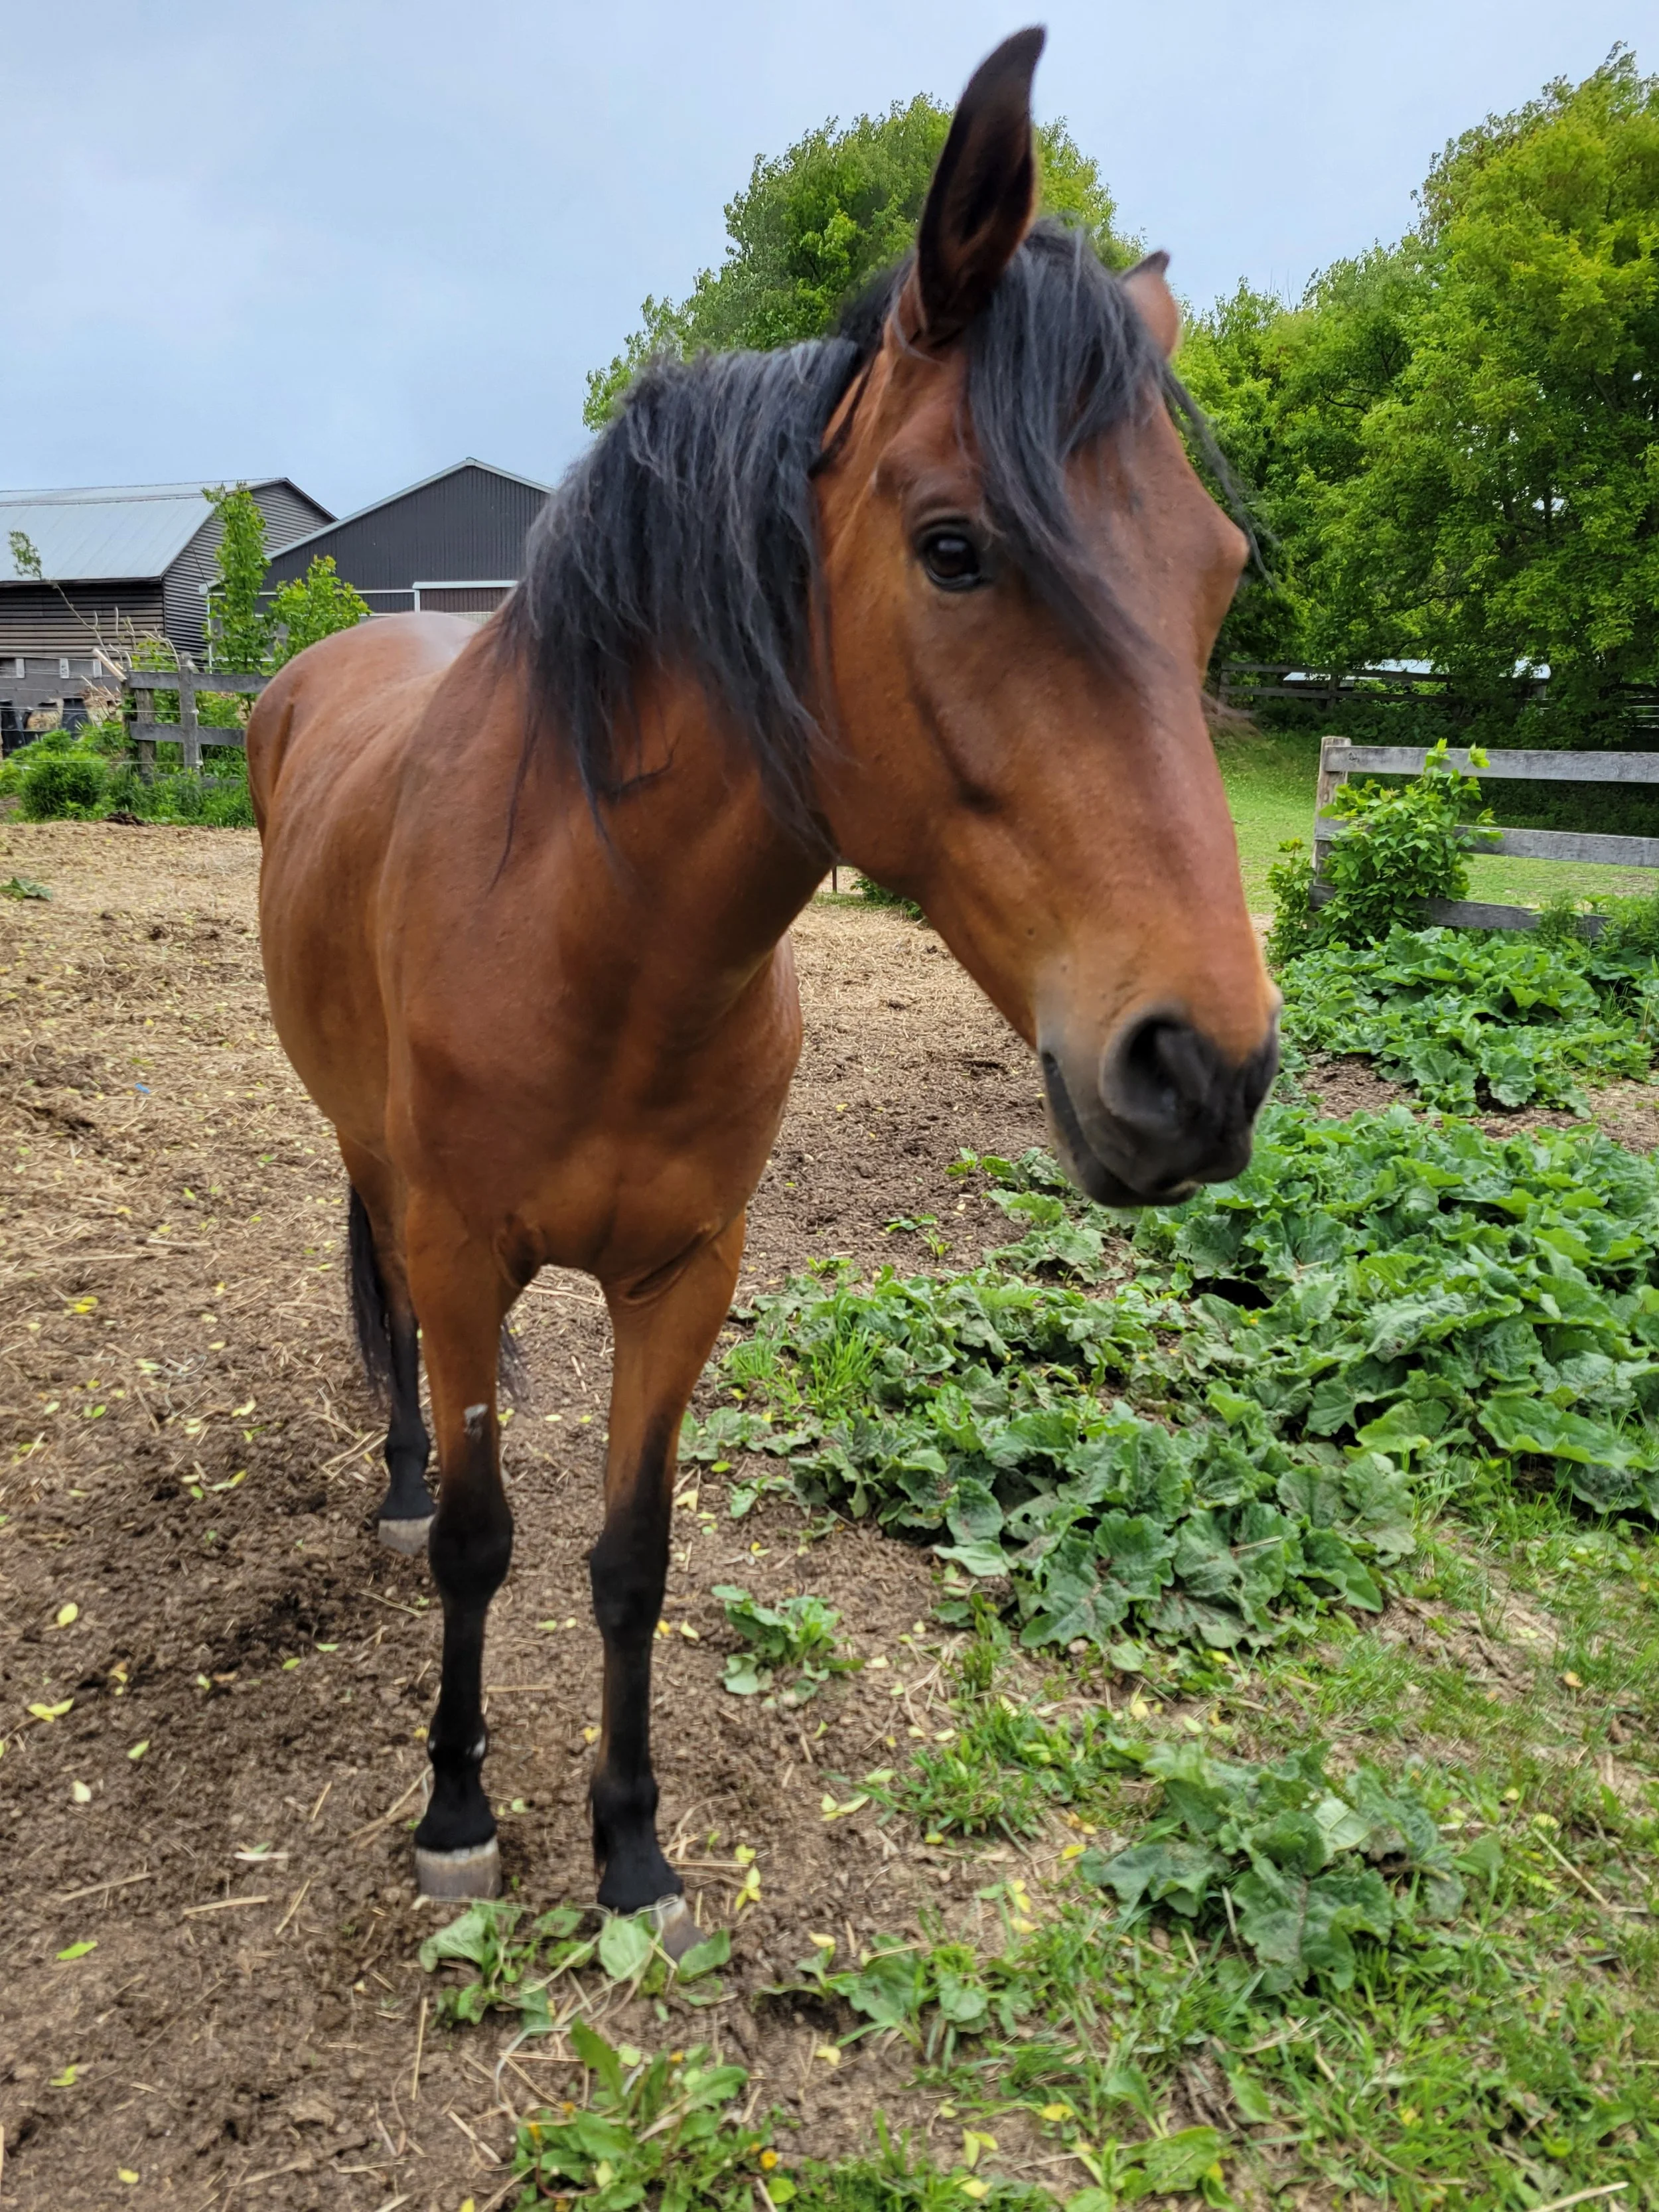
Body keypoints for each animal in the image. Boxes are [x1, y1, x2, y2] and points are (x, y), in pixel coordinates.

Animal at [246, 25, 1279, 1949]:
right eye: (954, 546)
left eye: (1216, 574)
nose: (1205, 1070)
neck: (601, 944)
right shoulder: (465, 1252)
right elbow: (492, 1541)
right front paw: (457, 1807)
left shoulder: (687, 1276)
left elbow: (632, 1557)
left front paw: (634, 1847)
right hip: (374, 1165)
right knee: (394, 1336)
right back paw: (401, 1489)